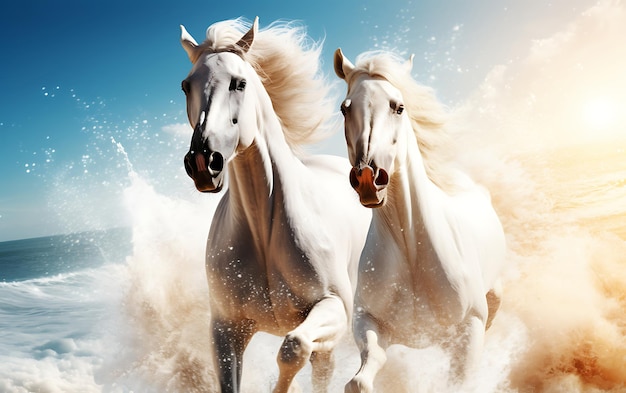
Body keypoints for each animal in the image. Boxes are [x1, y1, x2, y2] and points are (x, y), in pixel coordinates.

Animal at [178, 16, 368, 390]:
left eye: (239, 83)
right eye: (185, 86)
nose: (204, 162)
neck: (264, 234)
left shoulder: (334, 306)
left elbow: (293, 347)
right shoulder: (226, 329)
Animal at [334, 49, 504, 392]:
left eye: (398, 107)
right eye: (345, 109)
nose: (368, 177)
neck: (412, 255)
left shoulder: (469, 330)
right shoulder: (367, 322)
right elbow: (361, 378)